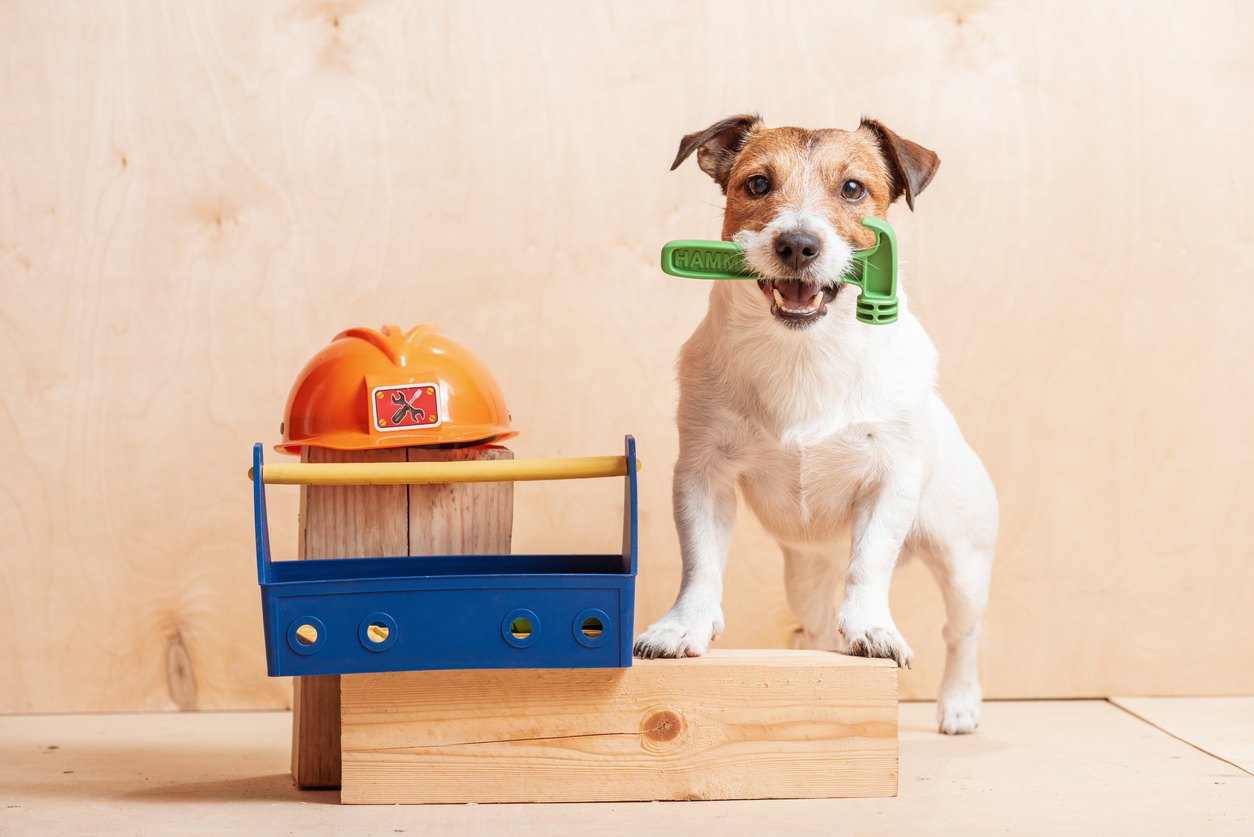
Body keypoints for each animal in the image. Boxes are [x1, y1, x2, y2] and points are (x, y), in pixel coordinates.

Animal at [637, 116, 998, 732]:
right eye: (758, 184)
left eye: (853, 189)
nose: (798, 244)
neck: (804, 353)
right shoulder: (702, 475)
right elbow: (701, 563)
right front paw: (683, 625)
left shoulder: (890, 481)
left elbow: (870, 565)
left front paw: (874, 627)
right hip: (805, 578)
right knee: (818, 623)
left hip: (963, 561)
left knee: (962, 632)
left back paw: (959, 702)